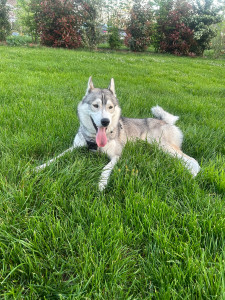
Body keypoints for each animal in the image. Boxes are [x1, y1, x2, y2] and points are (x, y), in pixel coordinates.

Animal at [36, 77, 201, 190]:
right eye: (95, 105)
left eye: (110, 107)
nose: (105, 121)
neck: (94, 141)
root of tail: (165, 121)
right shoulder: (74, 147)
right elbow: (57, 157)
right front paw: (39, 167)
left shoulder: (116, 156)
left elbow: (105, 168)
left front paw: (101, 183)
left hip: (162, 145)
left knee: (193, 160)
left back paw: (190, 174)